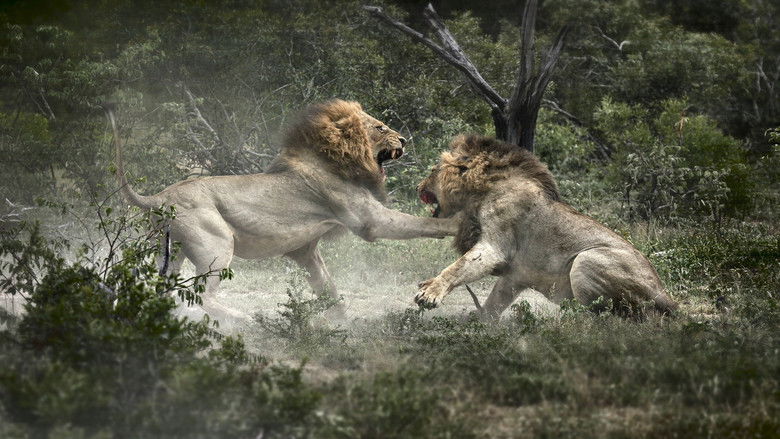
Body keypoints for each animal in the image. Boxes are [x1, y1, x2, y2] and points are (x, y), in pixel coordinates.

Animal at [108, 99, 458, 324]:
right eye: (380, 127)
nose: (403, 139)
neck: (338, 159)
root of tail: (159, 197)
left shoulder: (305, 250)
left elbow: (328, 288)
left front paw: (342, 321)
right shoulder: (369, 220)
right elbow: (418, 223)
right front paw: (458, 223)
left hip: (166, 253)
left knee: (161, 288)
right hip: (216, 245)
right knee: (201, 294)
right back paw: (242, 317)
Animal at [415, 134, 678, 319]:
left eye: (433, 170)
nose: (417, 186)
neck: (480, 191)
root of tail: (666, 296)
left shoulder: (495, 245)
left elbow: (459, 267)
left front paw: (430, 292)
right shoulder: (516, 274)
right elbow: (496, 299)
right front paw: (478, 320)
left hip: (586, 260)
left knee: (603, 317)